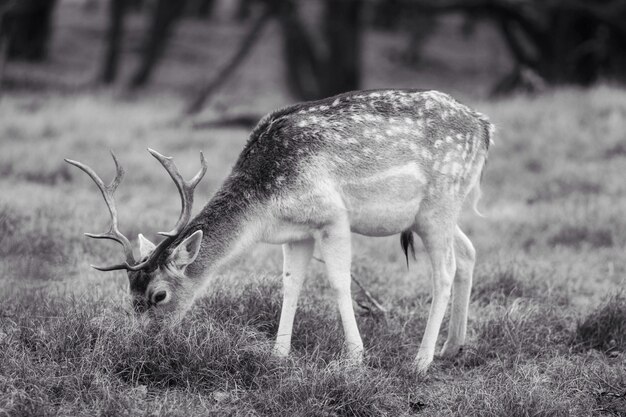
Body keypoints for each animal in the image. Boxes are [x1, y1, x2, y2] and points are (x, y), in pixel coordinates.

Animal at [64, 88, 492, 370]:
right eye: (129, 293)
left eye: (159, 295)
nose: (139, 345)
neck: (267, 205)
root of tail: (485, 128)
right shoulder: (298, 231)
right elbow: (291, 283)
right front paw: (279, 353)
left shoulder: (332, 215)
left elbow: (339, 281)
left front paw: (355, 357)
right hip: (430, 214)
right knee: (469, 251)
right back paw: (452, 347)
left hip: (440, 202)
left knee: (444, 270)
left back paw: (421, 360)